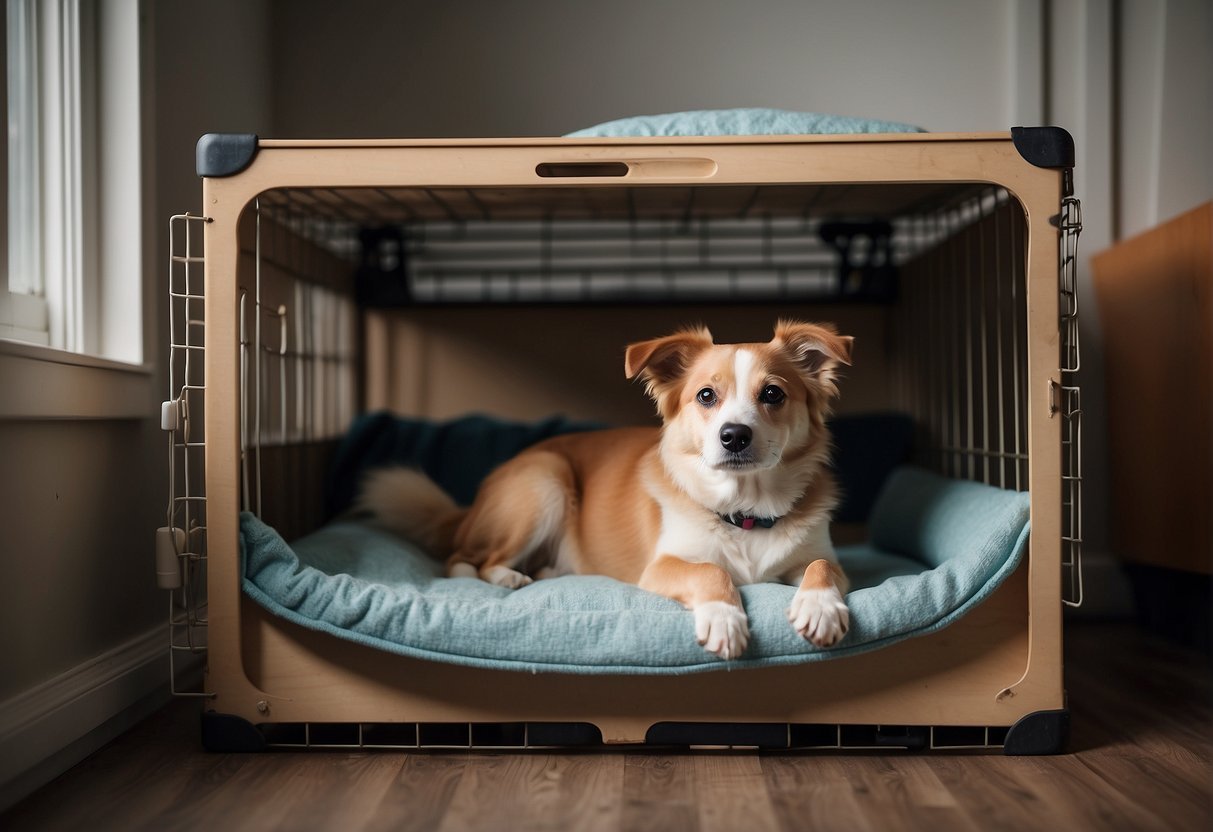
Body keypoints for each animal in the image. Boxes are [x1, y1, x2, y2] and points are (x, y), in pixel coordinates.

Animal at [359, 322, 853, 659]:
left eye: (772, 394)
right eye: (706, 396)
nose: (733, 436)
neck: (744, 508)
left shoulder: (820, 556)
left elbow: (823, 567)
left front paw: (820, 608)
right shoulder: (661, 567)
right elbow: (710, 572)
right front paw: (724, 619)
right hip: (544, 481)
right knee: (464, 560)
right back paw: (506, 576)